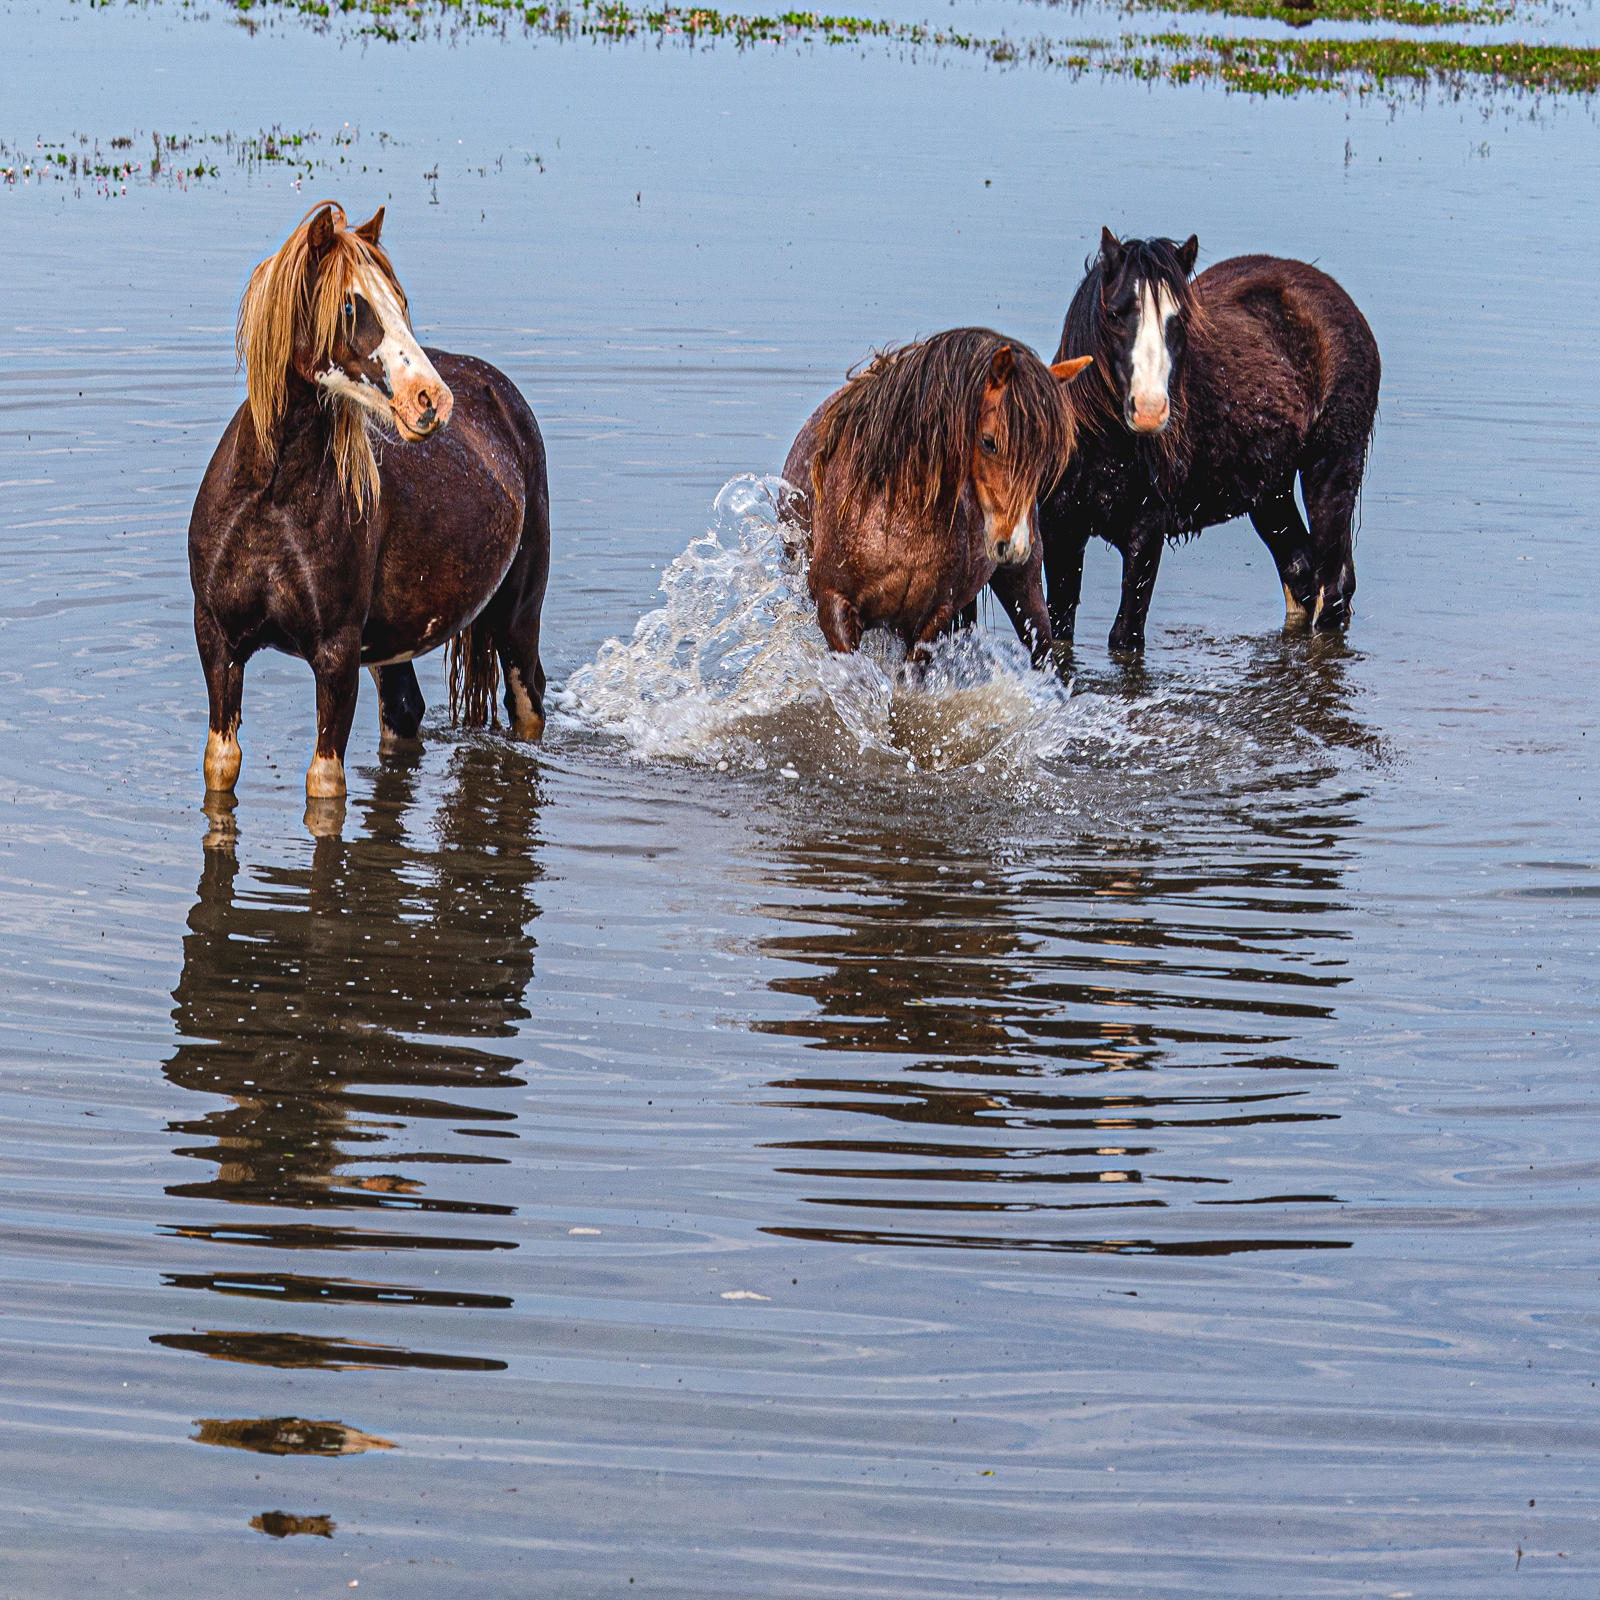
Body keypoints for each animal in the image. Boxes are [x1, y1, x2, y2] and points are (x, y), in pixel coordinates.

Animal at [185, 201, 550, 806]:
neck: (271, 503)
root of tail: (501, 395)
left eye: (400, 301)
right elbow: (222, 766)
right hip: (389, 645)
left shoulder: (335, 654)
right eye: (352, 305)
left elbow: (324, 784)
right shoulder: (218, 642)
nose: (432, 401)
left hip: (517, 616)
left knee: (529, 704)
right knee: (404, 712)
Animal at [780, 328, 1094, 665]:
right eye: (989, 442)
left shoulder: (936, 616)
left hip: (1025, 585)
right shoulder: (833, 603)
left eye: (1047, 456)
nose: (1014, 545)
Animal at [1043, 228, 1382, 652]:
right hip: (1270, 493)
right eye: (1116, 313)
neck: (1102, 450)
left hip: (1332, 471)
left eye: (1181, 319)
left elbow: (1125, 636)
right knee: (1302, 573)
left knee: (1331, 590)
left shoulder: (1145, 536)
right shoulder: (1060, 534)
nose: (1150, 411)